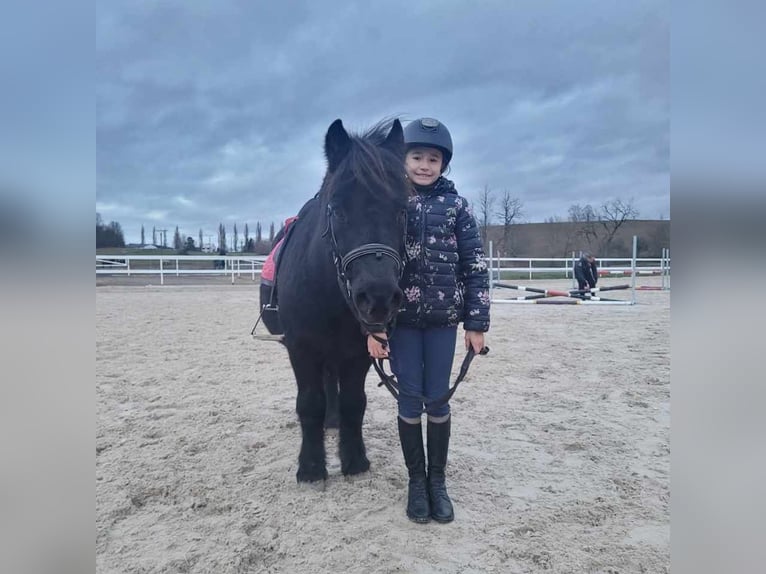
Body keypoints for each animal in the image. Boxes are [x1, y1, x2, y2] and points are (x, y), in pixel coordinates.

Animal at [274, 119, 408, 484]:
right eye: (336, 209)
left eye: (403, 210)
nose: (377, 297)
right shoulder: (300, 348)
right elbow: (308, 403)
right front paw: (311, 467)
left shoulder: (358, 351)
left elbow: (353, 403)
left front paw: (354, 459)